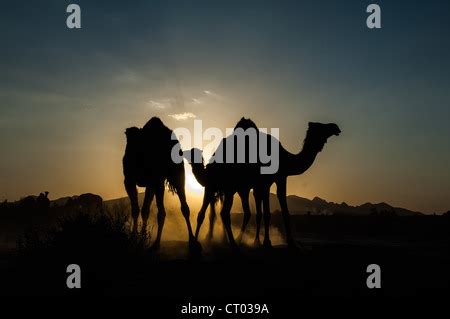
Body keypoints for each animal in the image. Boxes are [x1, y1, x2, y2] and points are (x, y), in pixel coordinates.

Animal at [124, 116, 200, 251]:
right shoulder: (135, 181)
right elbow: (143, 210)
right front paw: (140, 236)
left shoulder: (137, 180)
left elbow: (138, 209)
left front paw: (136, 237)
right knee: (180, 207)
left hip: (173, 175)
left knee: (168, 210)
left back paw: (159, 243)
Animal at [188, 119, 340, 249]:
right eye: (321, 126)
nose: (335, 127)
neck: (284, 158)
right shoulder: (266, 181)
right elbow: (266, 213)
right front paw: (267, 242)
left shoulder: (278, 178)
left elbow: (280, 210)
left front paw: (288, 242)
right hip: (228, 186)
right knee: (223, 212)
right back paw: (227, 242)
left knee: (214, 211)